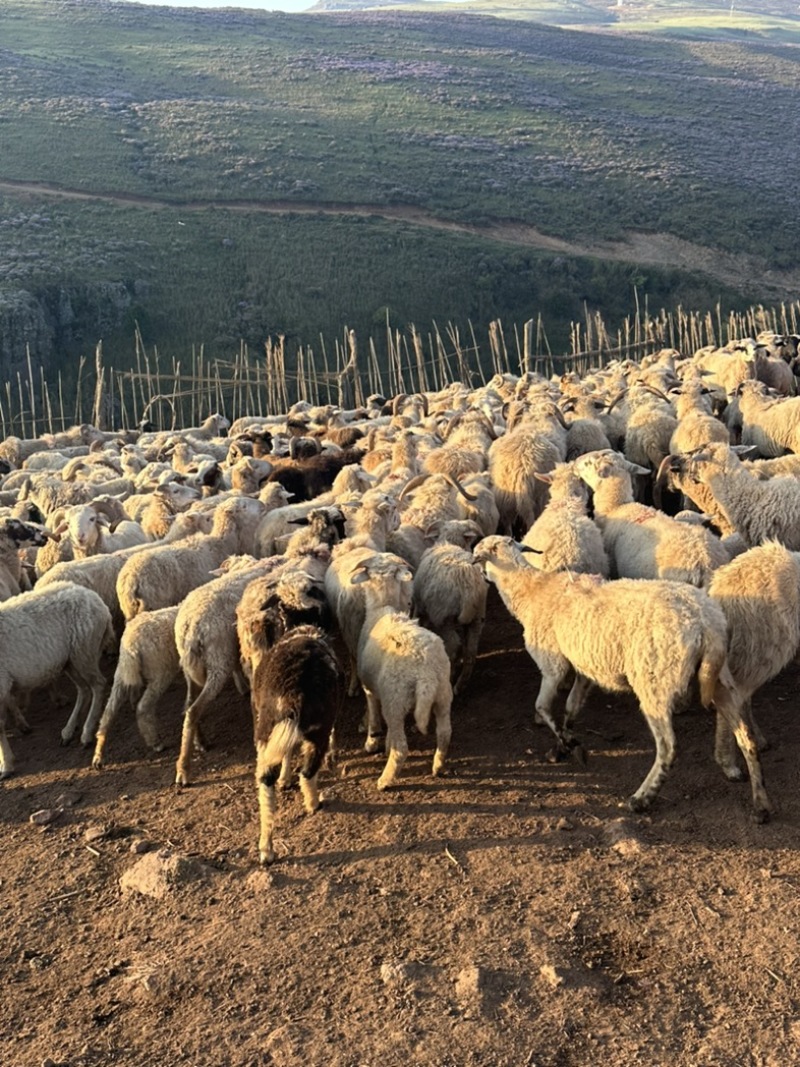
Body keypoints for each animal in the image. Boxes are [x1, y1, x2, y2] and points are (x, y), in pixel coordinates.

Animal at [0, 584, 114, 776]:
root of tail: (94, 597)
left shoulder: (2, 685)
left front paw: (7, 765)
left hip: (84, 651)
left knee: (98, 685)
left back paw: (86, 734)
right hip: (69, 660)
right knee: (84, 690)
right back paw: (68, 731)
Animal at [254, 623, 345, 866]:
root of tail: (292, 694)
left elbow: (287, 753)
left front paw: (284, 779)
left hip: (265, 730)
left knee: (265, 784)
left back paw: (266, 849)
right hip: (319, 729)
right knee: (307, 772)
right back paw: (314, 804)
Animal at [349, 554, 452, 789]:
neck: (383, 606)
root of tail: (425, 670)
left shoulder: (370, 688)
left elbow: (374, 715)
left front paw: (372, 742)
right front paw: (385, 743)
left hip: (395, 699)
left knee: (401, 748)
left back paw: (385, 780)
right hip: (443, 693)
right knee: (444, 733)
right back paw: (438, 767)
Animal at [473, 537, 772, 819]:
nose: (483, 576)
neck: (531, 591)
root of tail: (705, 622)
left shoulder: (552, 664)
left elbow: (543, 708)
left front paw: (571, 746)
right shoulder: (585, 668)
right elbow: (571, 709)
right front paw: (563, 746)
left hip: (654, 682)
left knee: (668, 747)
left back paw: (642, 798)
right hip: (721, 680)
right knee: (746, 738)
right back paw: (761, 804)